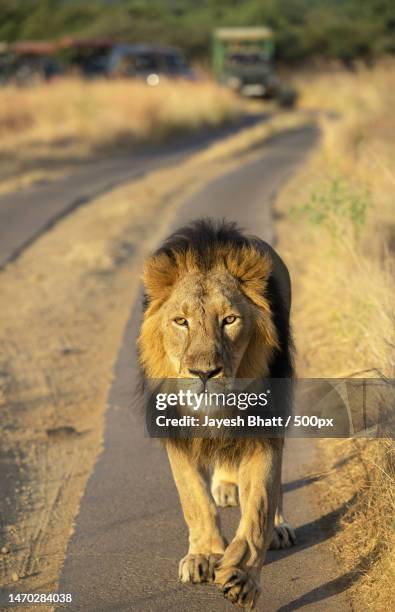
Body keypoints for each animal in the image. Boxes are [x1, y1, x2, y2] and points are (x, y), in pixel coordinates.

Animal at [139, 219, 296, 608]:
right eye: (181, 321)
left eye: (229, 320)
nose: (204, 373)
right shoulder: (176, 429)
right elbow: (193, 497)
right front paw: (206, 555)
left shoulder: (264, 428)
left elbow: (258, 507)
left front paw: (241, 577)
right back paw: (225, 486)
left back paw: (279, 527)